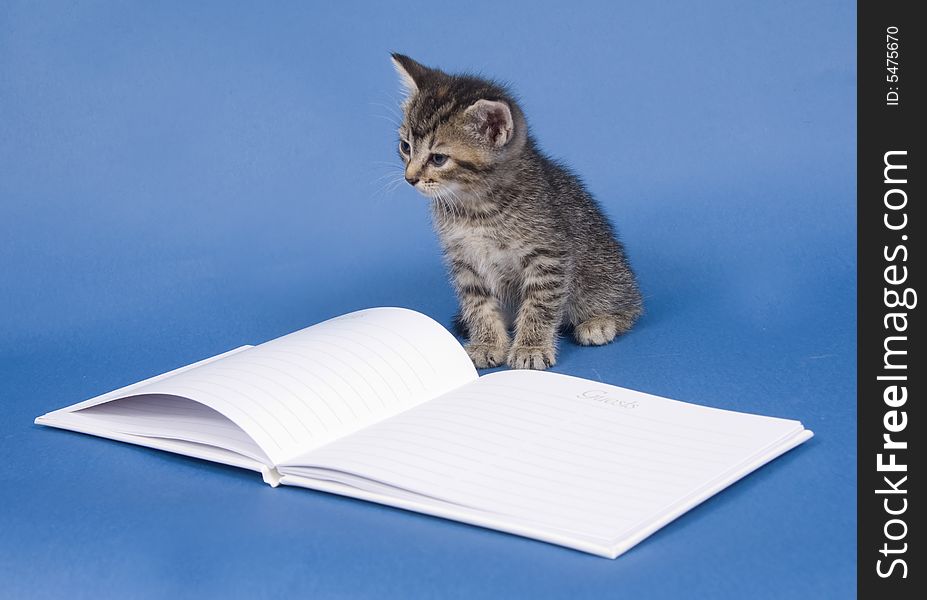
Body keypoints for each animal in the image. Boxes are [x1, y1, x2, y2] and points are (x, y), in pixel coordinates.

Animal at [388, 52, 640, 370]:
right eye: (405, 146)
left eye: (438, 158)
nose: (409, 177)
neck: (475, 209)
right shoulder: (464, 260)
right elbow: (478, 304)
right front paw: (487, 343)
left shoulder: (548, 255)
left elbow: (539, 305)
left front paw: (531, 347)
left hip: (602, 275)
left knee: (631, 305)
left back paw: (602, 321)